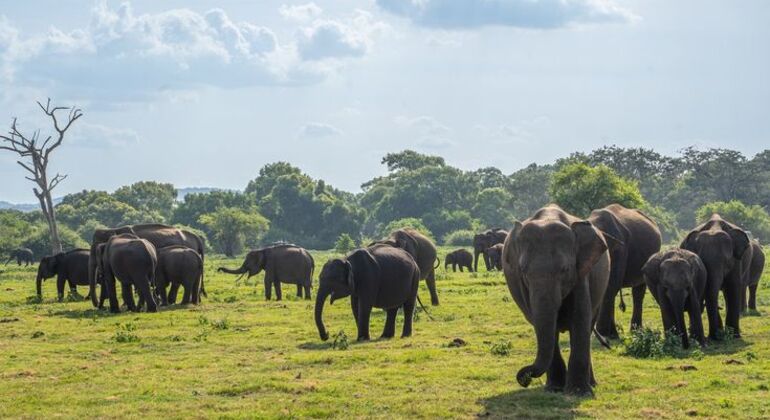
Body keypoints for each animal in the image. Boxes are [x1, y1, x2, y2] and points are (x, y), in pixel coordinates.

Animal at [502, 204, 614, 396]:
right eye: (523, 270)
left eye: (565, 269)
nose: (524, 379)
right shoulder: (522, 285)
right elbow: (541, 323)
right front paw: (555, 388)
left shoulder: (580, 274)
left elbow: (580, 319)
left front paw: (578, 393)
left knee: (588, 325)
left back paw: (591, 384)